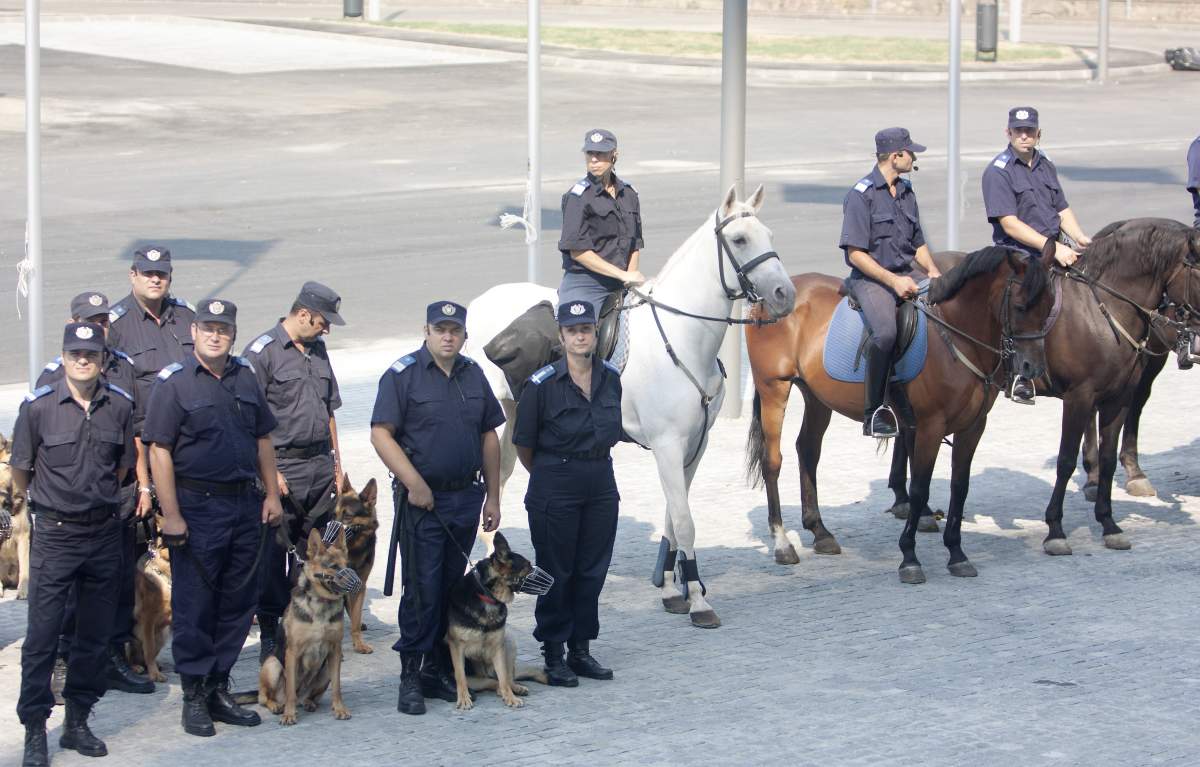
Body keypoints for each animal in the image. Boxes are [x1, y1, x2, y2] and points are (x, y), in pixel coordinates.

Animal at [260, 528, 352, 724]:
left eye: (347, 564)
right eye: (333, 566)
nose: (354, 583)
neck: (321, 603)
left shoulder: (335, 650)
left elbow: (337, 687)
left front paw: (339, 709)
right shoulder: (293, 653)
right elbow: (290, 691)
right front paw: (289, 714)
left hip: (325, 670)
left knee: (308, 696)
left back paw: (308, 702)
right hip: (273, 664)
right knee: (266, 697)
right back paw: (277, 706)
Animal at [446, 530, 549, 710]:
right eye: (528, 566)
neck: (487, 596)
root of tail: (486, 672)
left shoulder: (498, 647)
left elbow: (503, 677)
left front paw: (511, 697)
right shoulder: (456, 646)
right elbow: (460, 676)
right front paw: (464, 698)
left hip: (508, 640)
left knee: (505, 678)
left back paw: (515, 689)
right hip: (477, 679)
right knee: (492, 683)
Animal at [468, 187, 796, 628]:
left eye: (770, 234)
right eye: (740, 239)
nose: (785, 295)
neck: (682, 338)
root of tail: (477, 303)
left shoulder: (694, 446)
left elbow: (674, 517)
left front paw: (673, 589)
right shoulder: (667, 445)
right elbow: (686, 523)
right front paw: (698, 601)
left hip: (515, 413)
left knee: (498, 480)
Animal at [744, 244, 1056, 580]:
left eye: (1050, 306)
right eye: (1021, 307)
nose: (1032, 369)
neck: (956, 337)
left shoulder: (973, 427)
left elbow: (960, 487)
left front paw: (957, 553)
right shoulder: (930, 426)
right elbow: (919, 489)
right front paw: (909, 557)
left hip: (816, 397)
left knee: (808, 450)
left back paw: (820, 532)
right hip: (774, 389)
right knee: (772, 462)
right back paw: (782, 544)